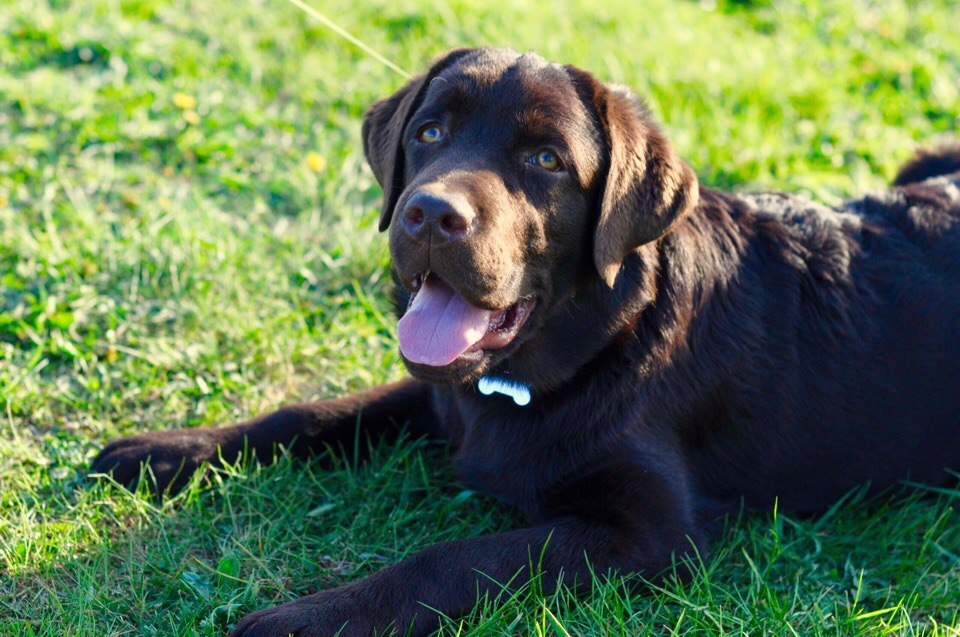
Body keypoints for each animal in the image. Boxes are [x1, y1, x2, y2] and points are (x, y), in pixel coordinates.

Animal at [94, 49, 960, 636]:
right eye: (430, 131)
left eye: (546, 160)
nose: (431, 213)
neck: (588, 348)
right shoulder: (441, 394)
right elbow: (311, 413)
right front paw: (168, 450)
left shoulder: (647, 531)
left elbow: (452, 557)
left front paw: (306, 617)